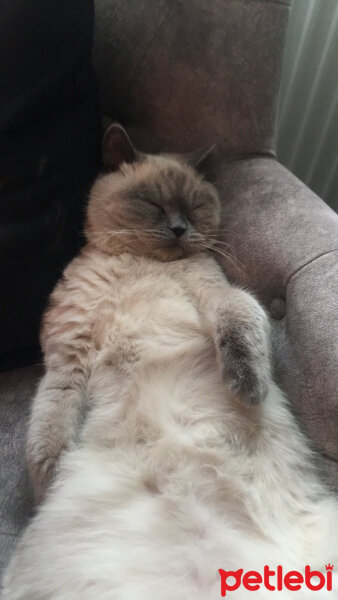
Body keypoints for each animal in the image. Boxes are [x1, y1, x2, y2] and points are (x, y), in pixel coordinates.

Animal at [1, 124, 336, 596]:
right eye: (154, 204)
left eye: (194, 206)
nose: (179, 229)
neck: (141, 264)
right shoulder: (67, 361)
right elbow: (48, 436)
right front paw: (48, 488)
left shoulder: (218, 294)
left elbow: (241, 325)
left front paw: (248, 388)